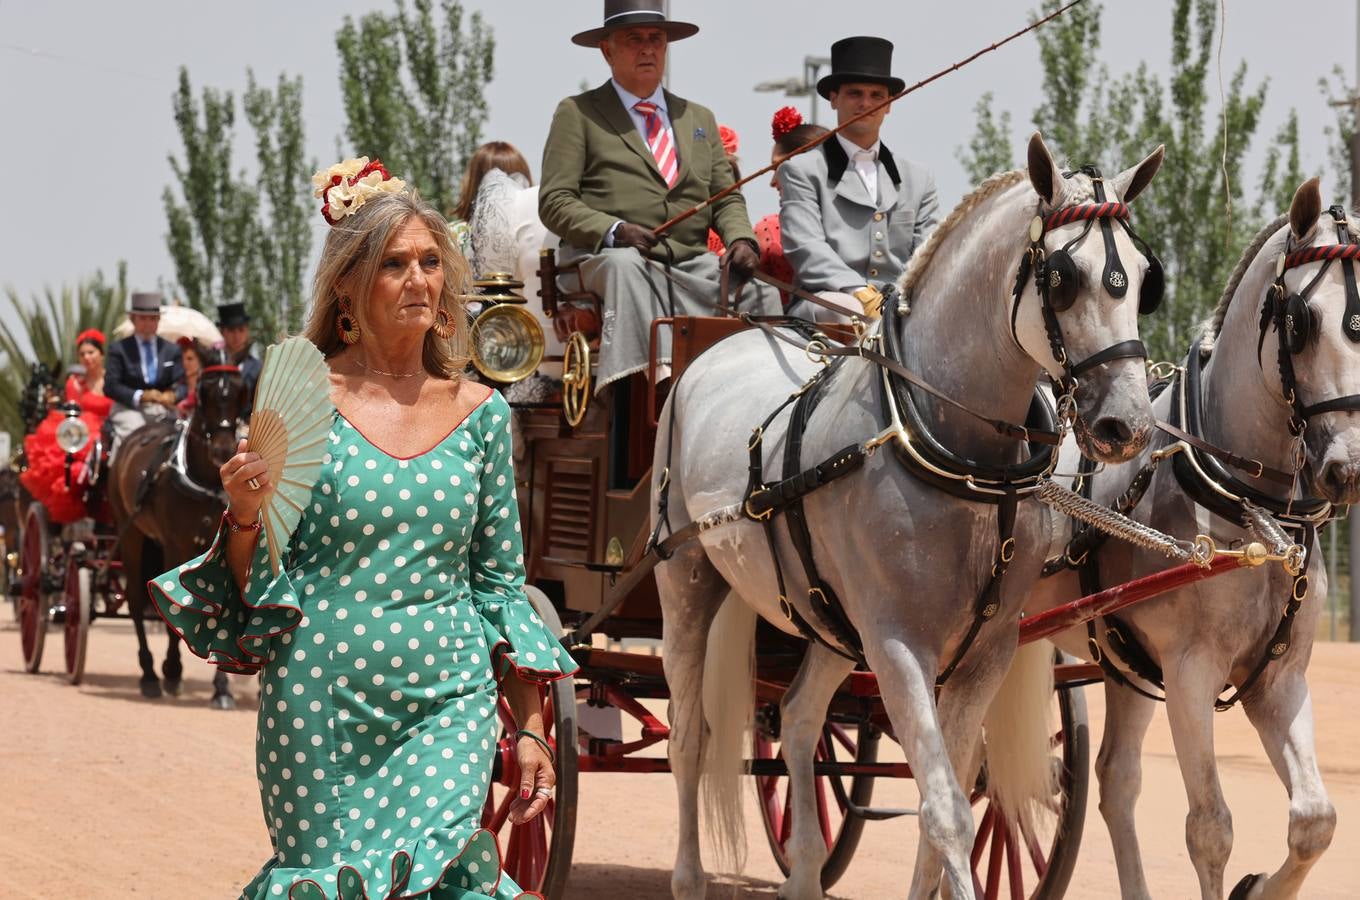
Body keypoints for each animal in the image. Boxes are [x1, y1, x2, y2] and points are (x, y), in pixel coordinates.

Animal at [108, 353, 247, 712]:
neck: (209, 481)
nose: (223, 450)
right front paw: (171, 670)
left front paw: (222, 689)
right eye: (204, 392)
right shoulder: (175, 545)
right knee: (135, 599)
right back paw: (149, 674)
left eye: (240, 391)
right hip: (132, 534)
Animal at [652, 133, 1164, 900]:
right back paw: (688, 875)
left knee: (799, 718)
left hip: (827, 618)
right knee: (688, 738)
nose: (1125, 424)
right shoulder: (898, 646)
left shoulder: (985, 652)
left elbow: (951, 797)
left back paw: (804, 870)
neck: (957, 451)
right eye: (1063, 277)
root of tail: (718, 344)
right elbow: (946, 808)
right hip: (687, 581)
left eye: (1140, 277)